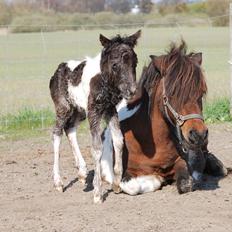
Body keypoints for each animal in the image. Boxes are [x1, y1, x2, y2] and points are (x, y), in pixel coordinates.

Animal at [49, 30, 140, 203]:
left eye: (135, 62)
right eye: (115, 65)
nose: (131, 91)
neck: (104, 81)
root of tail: (58, 70)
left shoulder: (110, 110)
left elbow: (119, 140)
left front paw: (116, 183)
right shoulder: (94, 111)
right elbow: (97, 147)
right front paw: (98, 193)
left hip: (79, 111)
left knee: (70, 129)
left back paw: (82, 172)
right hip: (64, 108)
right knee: (57, 132)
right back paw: (58, 182)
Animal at [102, 40, 228, 195]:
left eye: (202, 92)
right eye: (172, 93)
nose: (198, 134)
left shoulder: (183, 160)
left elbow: (186, 182)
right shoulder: (122, 175)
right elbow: (134, 185)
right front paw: (158, 178)